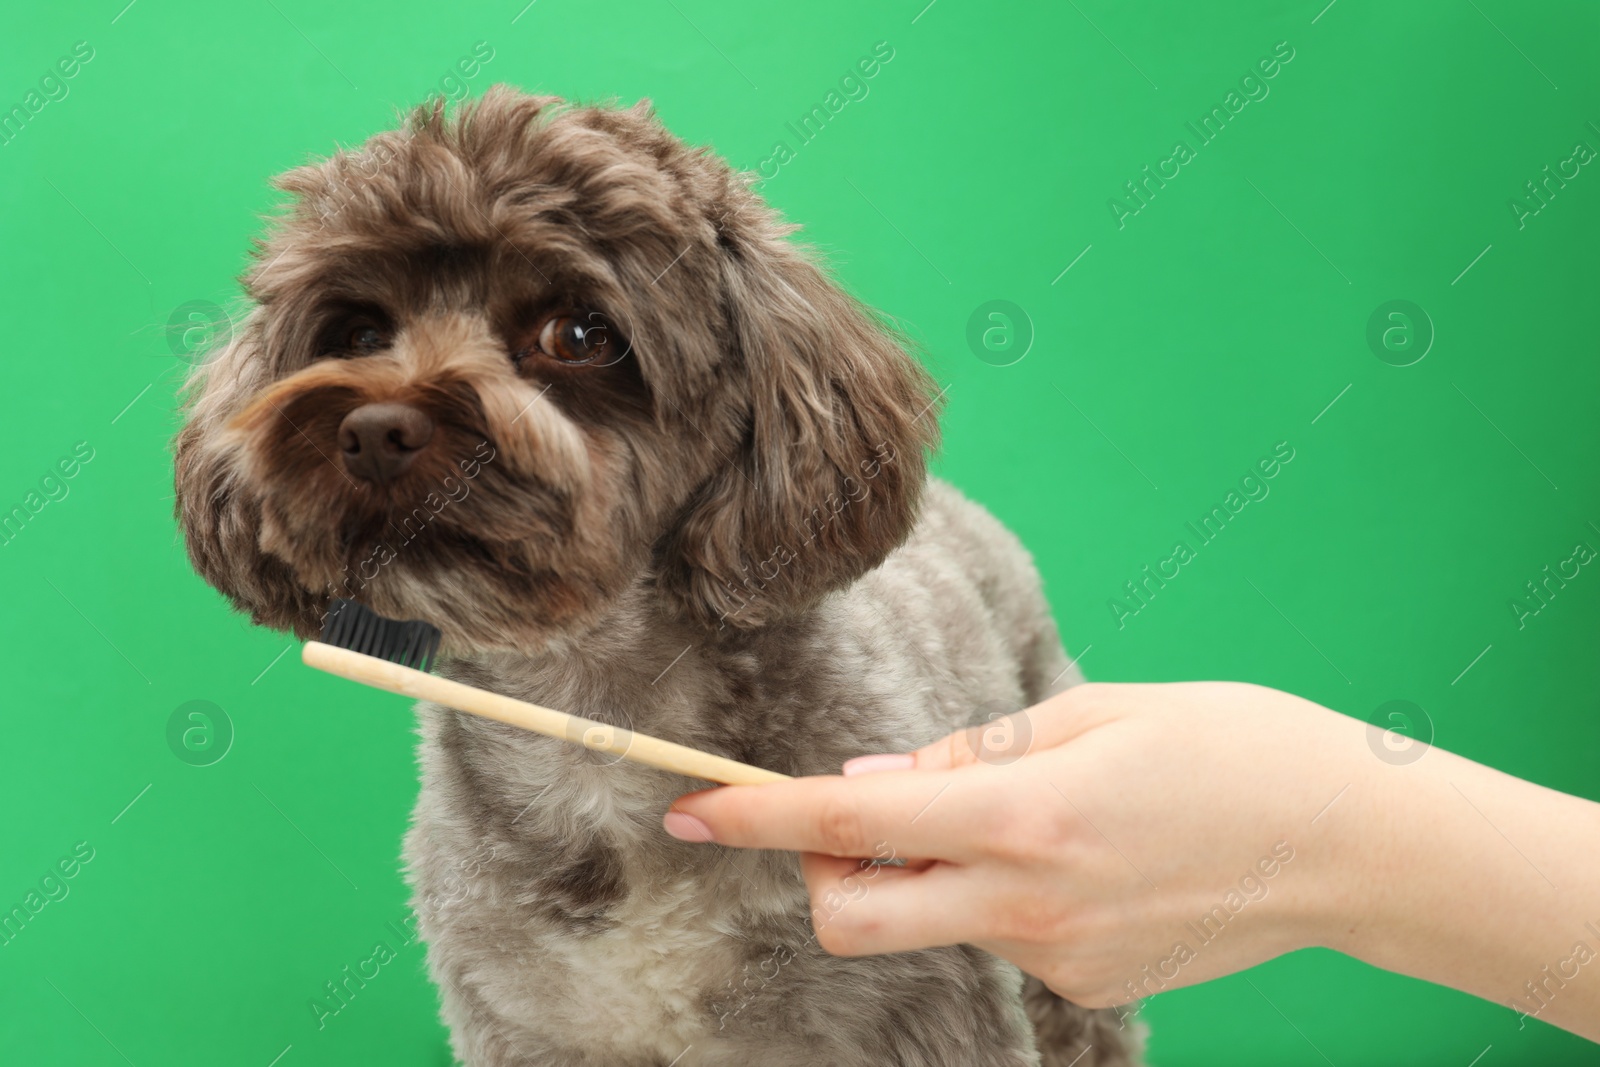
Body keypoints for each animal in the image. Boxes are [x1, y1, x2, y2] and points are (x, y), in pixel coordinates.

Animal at [175, 87, 1139, 1062]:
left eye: (576, 333)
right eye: (360, 330)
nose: (374, 429)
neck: (593, 723)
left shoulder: (925, 1014)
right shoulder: (523, 1026)